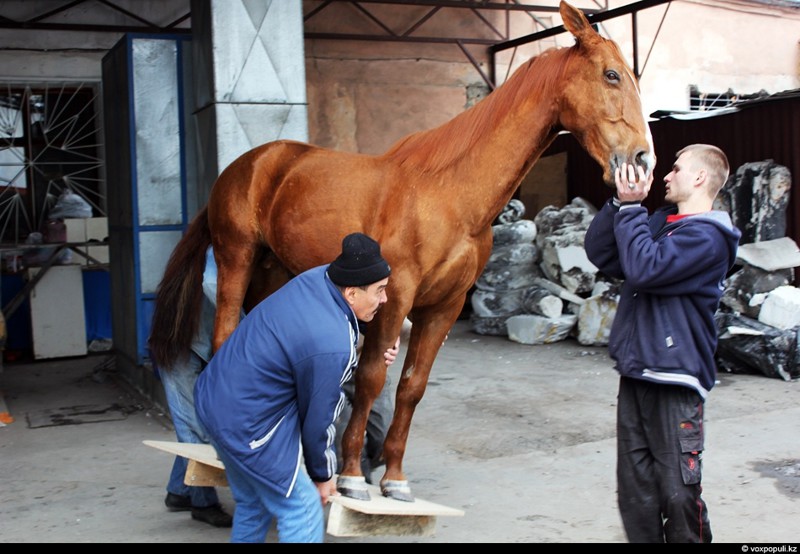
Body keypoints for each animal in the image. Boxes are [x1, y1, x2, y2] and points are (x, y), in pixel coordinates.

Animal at [147, 0, 652, 500]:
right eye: (611, 75)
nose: (642, 160)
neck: (451, 195)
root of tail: (246, 165)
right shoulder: (395, 295)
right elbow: (371, 377)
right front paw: (352, 475)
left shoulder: (444, 307)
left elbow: (411, 387)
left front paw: (394, 478)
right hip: (237, 257)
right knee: (224, 338)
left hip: (273, 274)